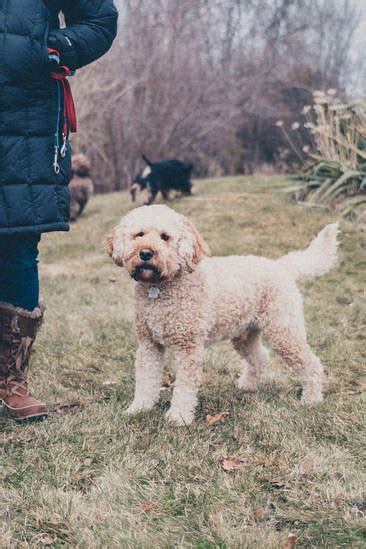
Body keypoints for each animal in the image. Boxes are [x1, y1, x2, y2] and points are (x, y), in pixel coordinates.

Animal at [105, 206, 338, 424]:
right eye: (139, 234)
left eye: (165, 237)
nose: (145, 253)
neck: (160, 288)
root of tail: (282, 266)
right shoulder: (149, 345)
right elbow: (146, 380)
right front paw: (139, 408)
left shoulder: (188, 348)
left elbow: (184, 387)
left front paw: (178, 417)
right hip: (245, 335)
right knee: (260, 357)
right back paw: (248, 385)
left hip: (284, 331)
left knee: (311, 363)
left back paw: (311, 399)